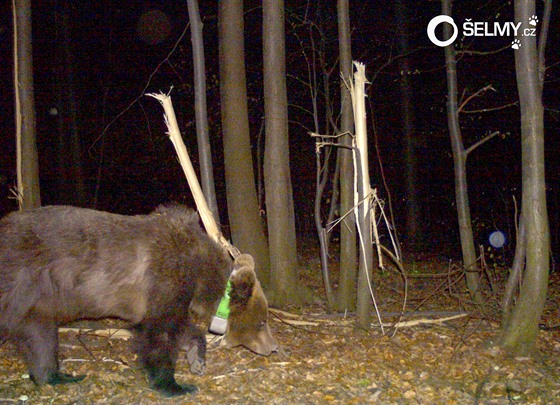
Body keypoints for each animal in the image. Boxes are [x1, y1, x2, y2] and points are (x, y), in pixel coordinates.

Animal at [0, 204, 278, 396]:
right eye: (262, 322)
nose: (273, 347)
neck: (201, 276)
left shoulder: (177, 296)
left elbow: (181, 327)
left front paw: (196, 359)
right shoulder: (165, 278)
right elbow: (158, 332)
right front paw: (174, 385)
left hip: (38, 300)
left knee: (41, 337)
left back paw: (59, 376)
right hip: (20, 281)